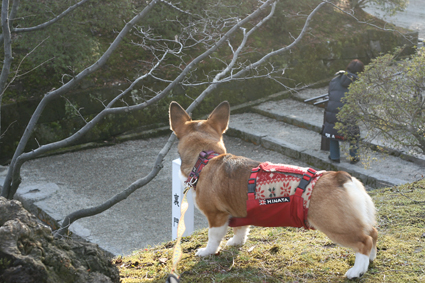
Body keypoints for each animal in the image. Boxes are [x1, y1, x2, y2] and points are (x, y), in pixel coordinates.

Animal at [167, 100, 376, 280]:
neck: (205, 158)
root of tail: (341, 177)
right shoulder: (238, 214)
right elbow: (241, 230)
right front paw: (235, 242)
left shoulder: (216, 216)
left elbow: (213, 238)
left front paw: (206, 252)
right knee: (373, 233)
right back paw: (370, 259)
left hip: (335, 226)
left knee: (364, 241)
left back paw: (356, 270)